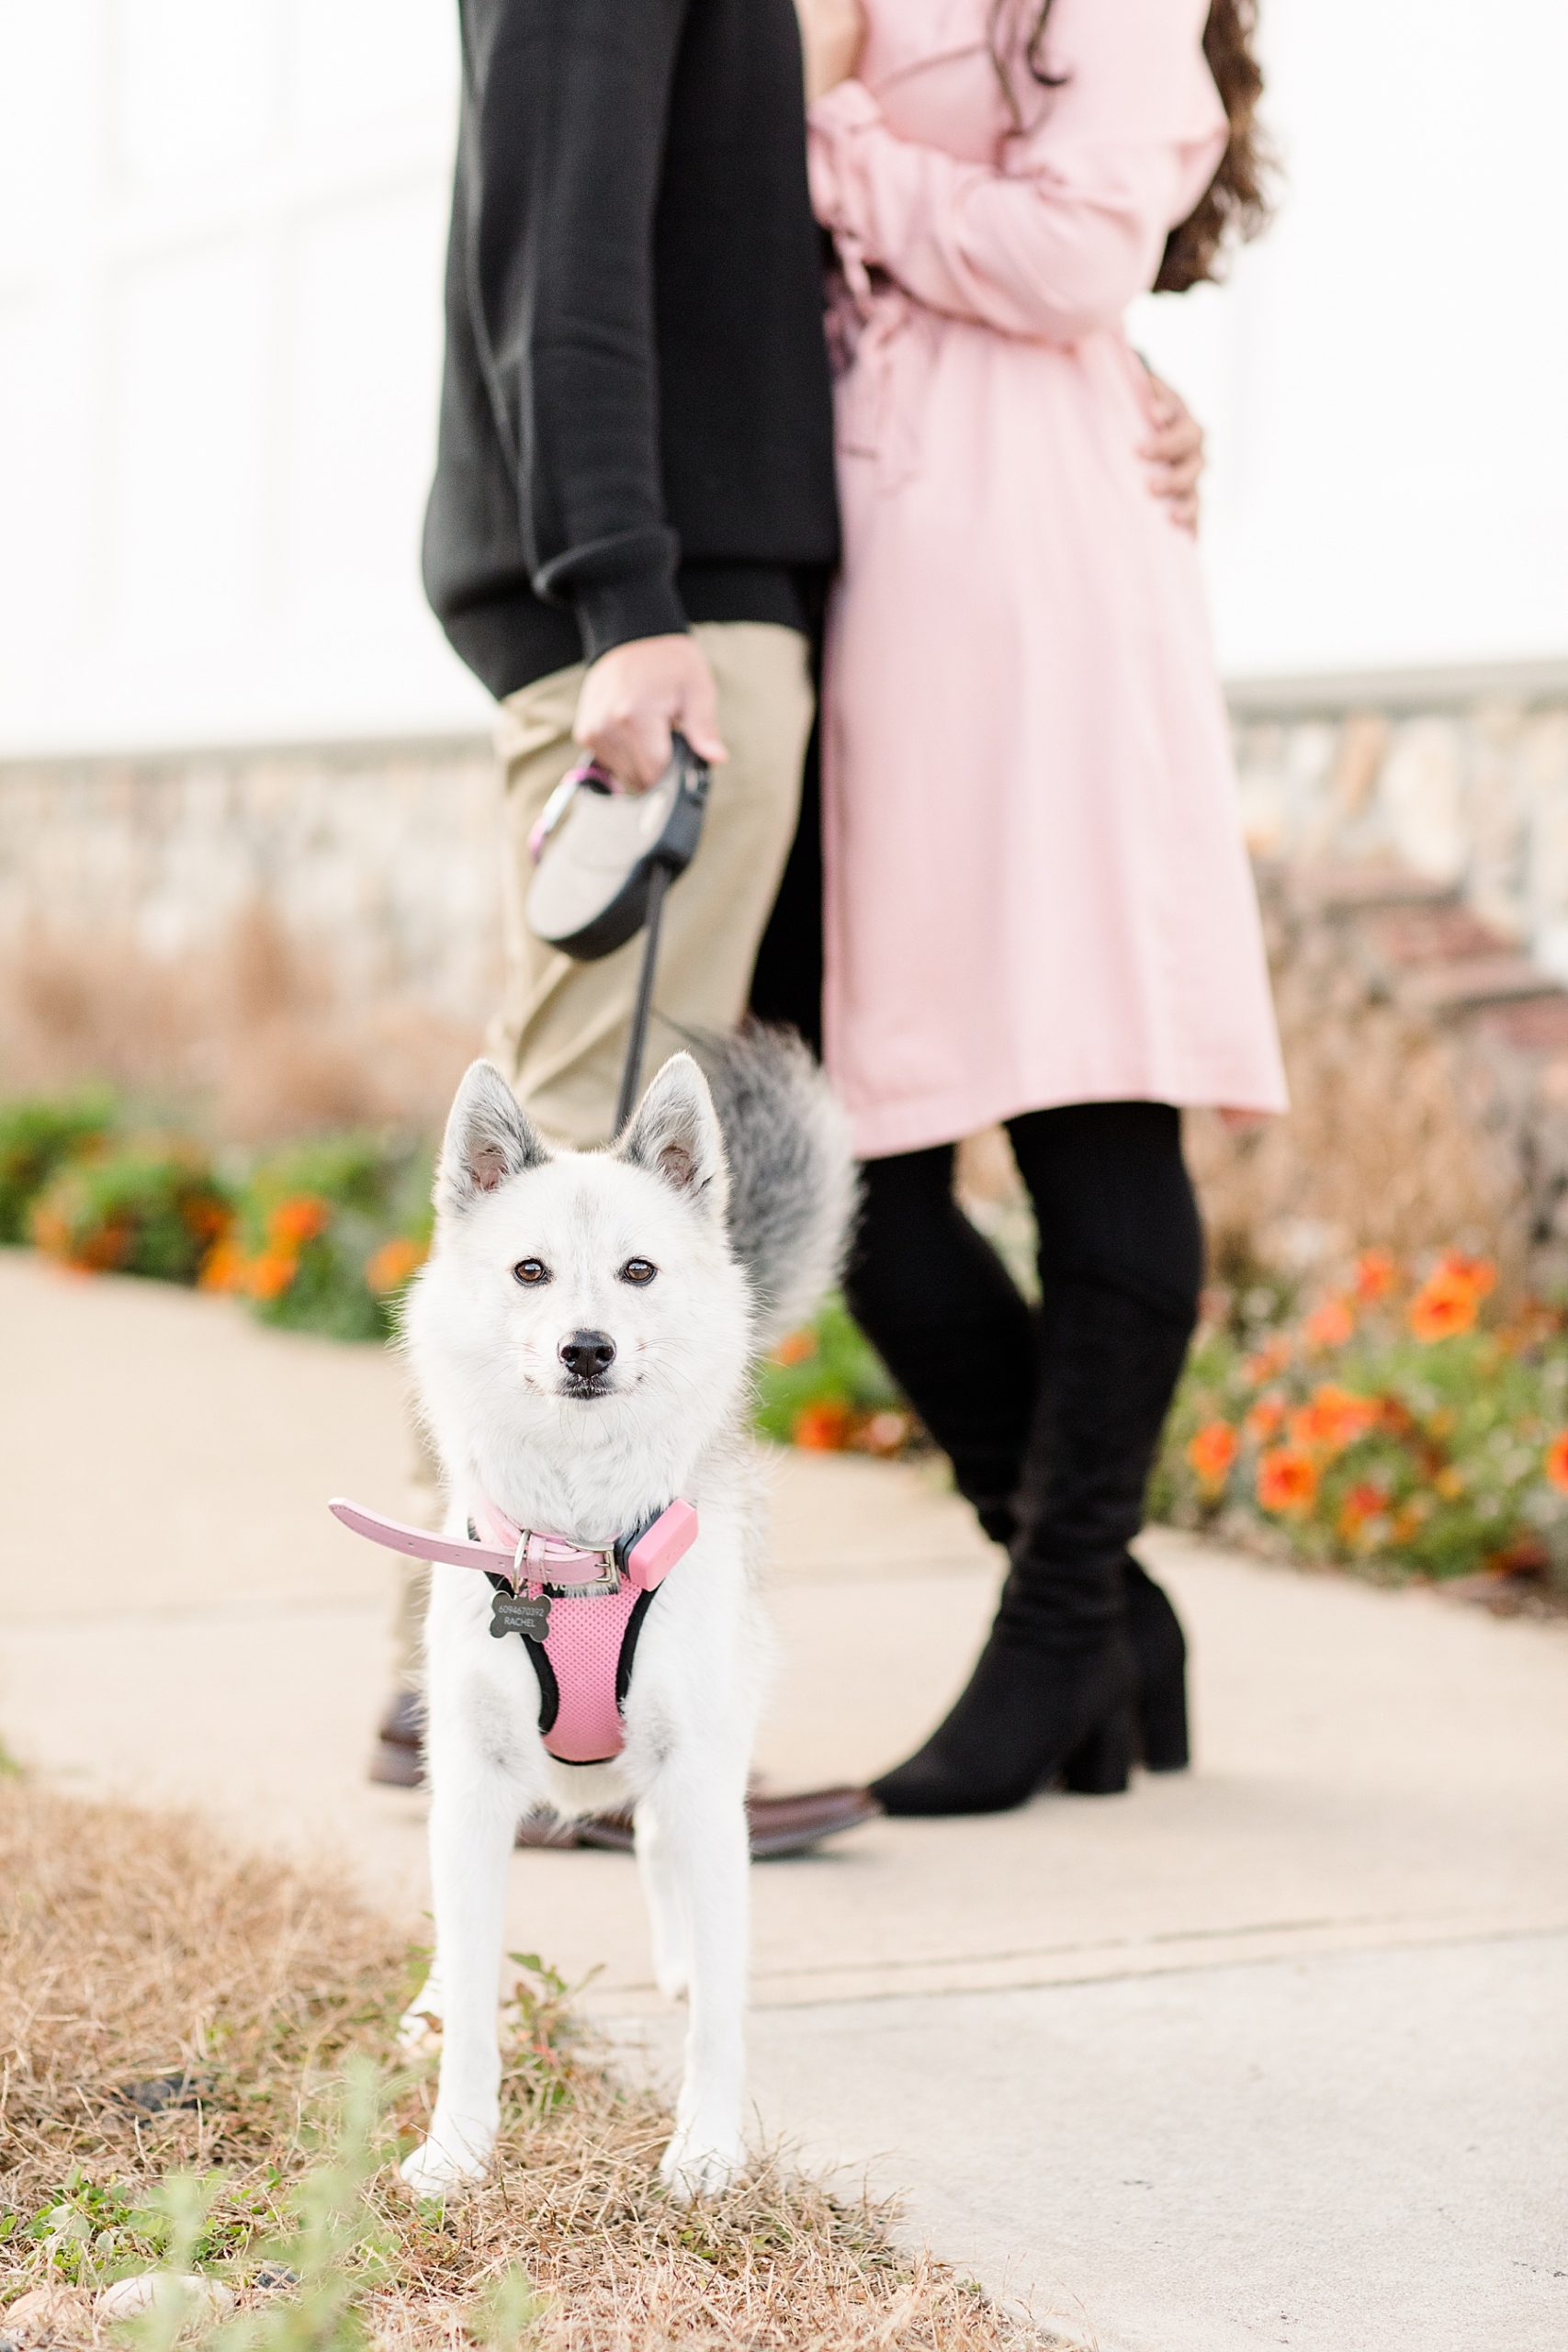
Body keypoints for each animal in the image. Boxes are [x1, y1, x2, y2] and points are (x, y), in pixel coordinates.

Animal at [392, 1035, 860, 2201]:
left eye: (639, 1271)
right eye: (530, 1271)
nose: (588, 1348)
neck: (575, 1544)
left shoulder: (701, 1773)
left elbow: (721, 2021)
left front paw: (707, 2146)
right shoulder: (471, 1789)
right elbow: (477, 2000)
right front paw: (458, 2145)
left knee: (660, 1848)